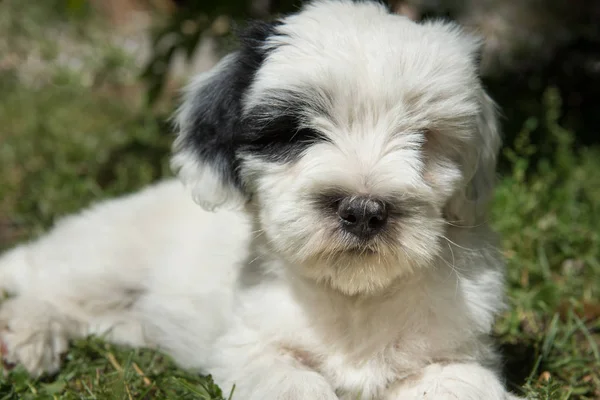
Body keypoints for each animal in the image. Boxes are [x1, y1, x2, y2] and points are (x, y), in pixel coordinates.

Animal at [0, 1, 520, 398]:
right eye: (300, 133)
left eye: (424, 138)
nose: (363, 210)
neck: (354, 298)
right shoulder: (249, 346)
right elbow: (291, 379)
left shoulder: (457, 356)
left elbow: (458, 383)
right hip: (107, 256)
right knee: (49, 289)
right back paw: (21, 334)